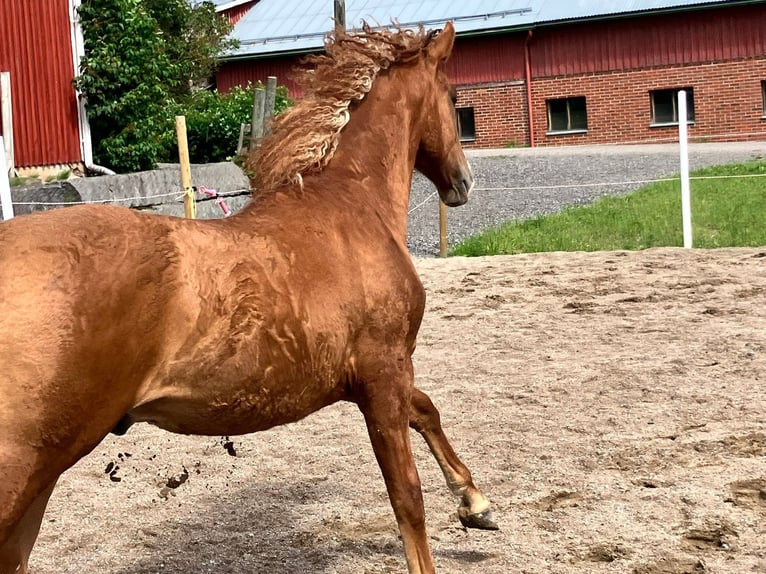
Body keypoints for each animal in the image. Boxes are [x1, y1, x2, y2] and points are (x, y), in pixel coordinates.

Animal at [0, 21, 496, 574]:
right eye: (452, 98)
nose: (463, 183)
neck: (351, 205)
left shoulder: (368, 378)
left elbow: (427, 408)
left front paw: (477, 505)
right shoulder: (383, 372)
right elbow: (407, 496)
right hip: (26, 468)